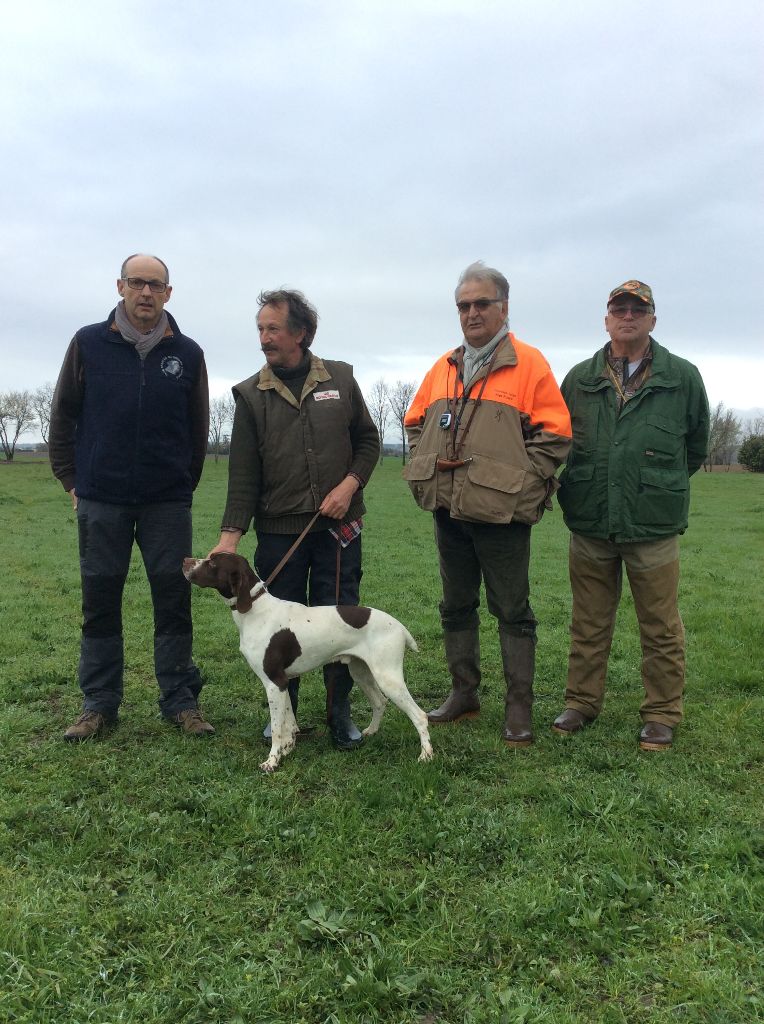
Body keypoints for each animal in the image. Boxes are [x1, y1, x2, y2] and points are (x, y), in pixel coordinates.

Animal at [181, 557, 432, 770]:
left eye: (213, 562)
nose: (185, 561)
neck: (255, 610)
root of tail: (400, 627)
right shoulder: (284, 682)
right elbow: (289, 723)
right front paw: (287, 749)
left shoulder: (274, 682)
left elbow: (277, 728)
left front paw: (272, 762)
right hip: (361, 672)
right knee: (380, 702)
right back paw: (371, 731)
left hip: (387, 677)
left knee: (420, 715)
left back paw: (426, 756)